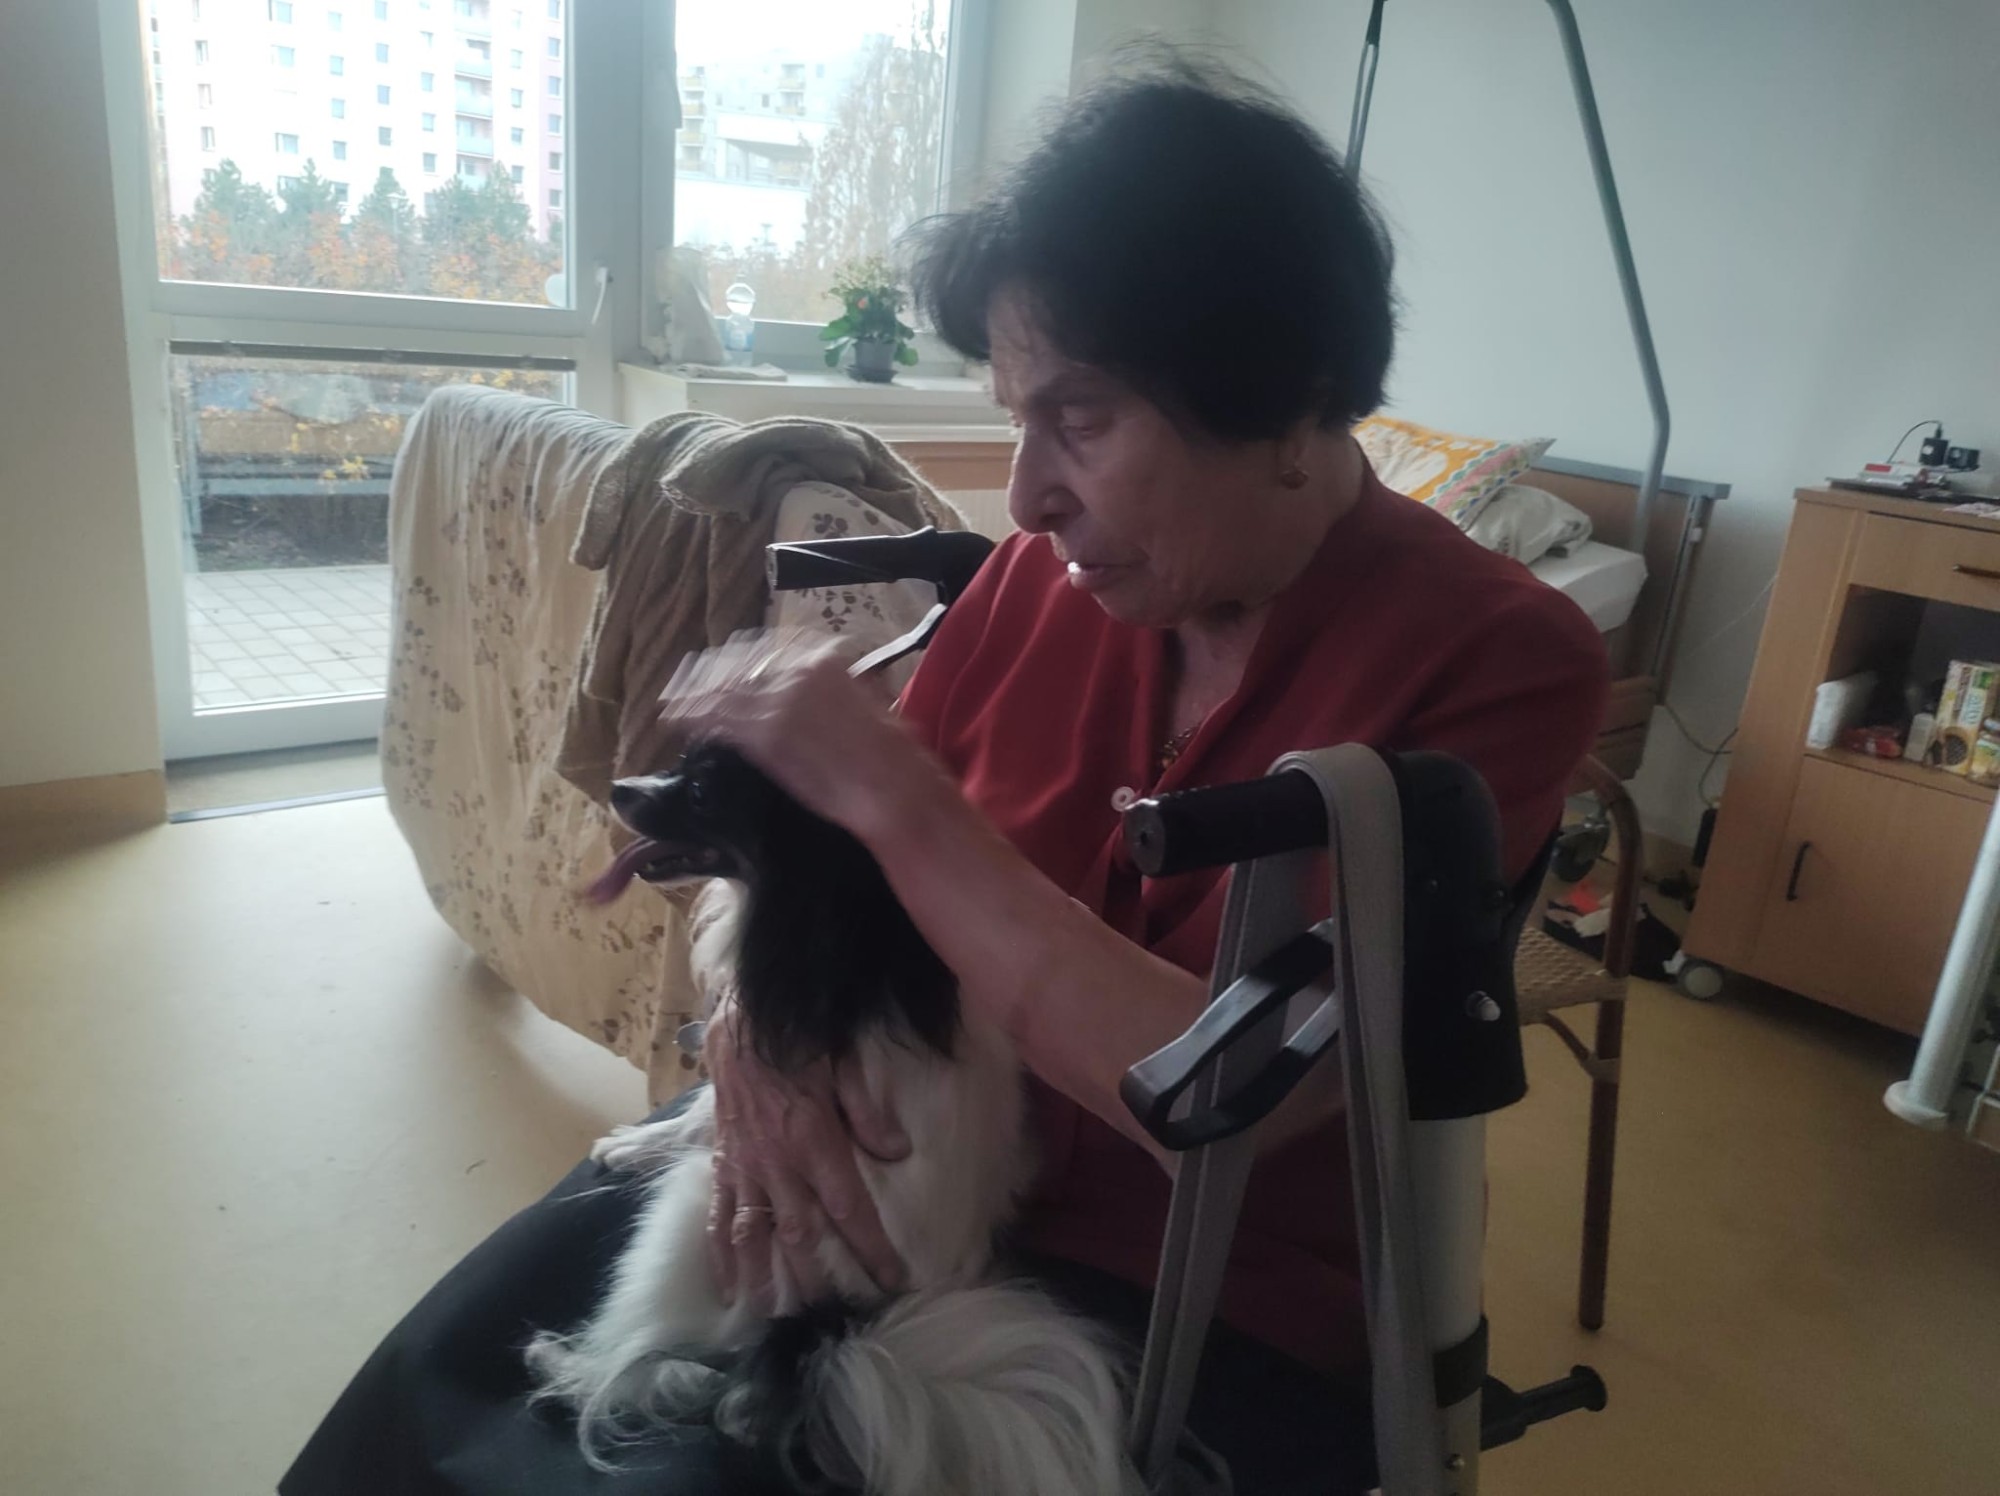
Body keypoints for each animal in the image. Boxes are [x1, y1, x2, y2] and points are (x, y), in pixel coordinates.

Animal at [525, 743, 1136, 1496]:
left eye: (700, 792)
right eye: (678, 759)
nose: (619, 788)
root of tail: (830, 1327)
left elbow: (708, 1117)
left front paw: (632, 1145)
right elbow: (704, 1108)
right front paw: (640, 1139)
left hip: (689, 1217)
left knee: (650, 1367)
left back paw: (558, 1363)